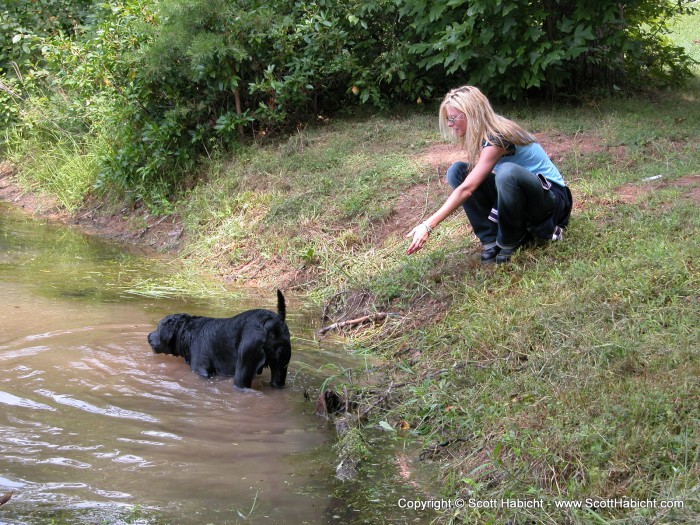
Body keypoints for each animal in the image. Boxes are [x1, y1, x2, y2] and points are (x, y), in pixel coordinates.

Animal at [148, 290, 290, 388]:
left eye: (159, 327)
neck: (188, 333)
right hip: (280, 368)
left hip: (244, 367)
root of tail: (274, 321)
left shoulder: (200, 369)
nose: (148, 337)